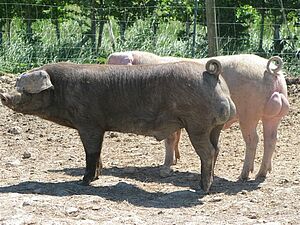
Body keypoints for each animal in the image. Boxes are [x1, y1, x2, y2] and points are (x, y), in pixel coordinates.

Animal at [0, 60, 236, 192]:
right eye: (17, 85)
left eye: (26, 89)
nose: (4, 95)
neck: (62, 89)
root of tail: (212, 73)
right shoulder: (98, 127)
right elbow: (98, 152)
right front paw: (96, 177)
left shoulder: (89, 123)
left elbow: (91, 152)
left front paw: (84, 182)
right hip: (214, 127)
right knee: (217, 149)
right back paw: (204, 185)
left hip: (198, 124)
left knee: (207, 152)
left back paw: (203, 189)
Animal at [106, 51, 290, 181]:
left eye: (111, 63)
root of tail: (271, 70)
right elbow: (176, 138)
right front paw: (175, 161)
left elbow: (169, 140)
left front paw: (164, 168)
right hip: (273, 116)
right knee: (271, 139)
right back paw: (262, 173)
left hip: (249, 113)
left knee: (254, 140)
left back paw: (243, 175)